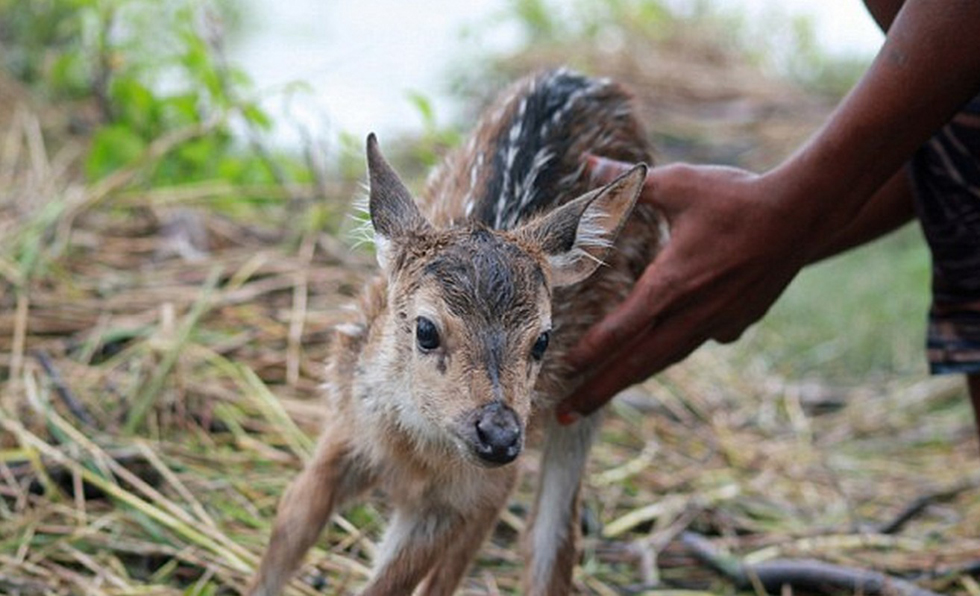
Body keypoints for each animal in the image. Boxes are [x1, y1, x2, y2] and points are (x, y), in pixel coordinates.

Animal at [249, 71, 668, 596]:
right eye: (426, 329)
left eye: (543, 340)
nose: (498, 434)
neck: (414, 447)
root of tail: (595, 80)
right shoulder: (347, 423)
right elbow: (288, 523)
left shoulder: (455, 496)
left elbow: (392, 583)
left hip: (589, 391)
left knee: (547, 535)